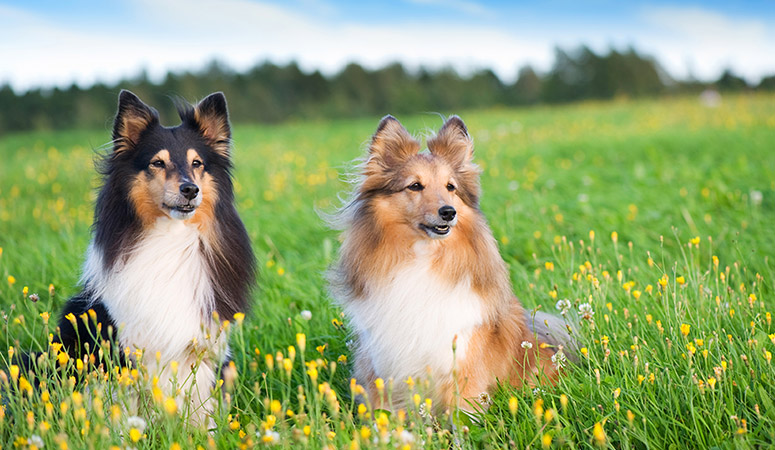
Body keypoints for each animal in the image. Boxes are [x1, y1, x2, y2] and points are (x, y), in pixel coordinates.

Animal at [330, 115, 572, 412]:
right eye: (415, 185)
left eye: (450, 187)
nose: (449, 212)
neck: (422, 257)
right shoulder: (381, 367)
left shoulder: (462, 361)